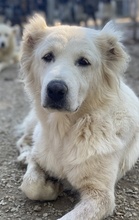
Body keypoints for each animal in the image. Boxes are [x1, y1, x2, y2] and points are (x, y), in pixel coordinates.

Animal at [17, 14, 139, 219]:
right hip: (33, 122)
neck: (65, 130)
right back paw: (24, 154)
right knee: (23, 139)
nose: (55, 90)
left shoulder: (100, 195)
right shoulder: (39, 157)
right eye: (47, 57)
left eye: (84, 61)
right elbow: (31, 185)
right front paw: (51, 187)